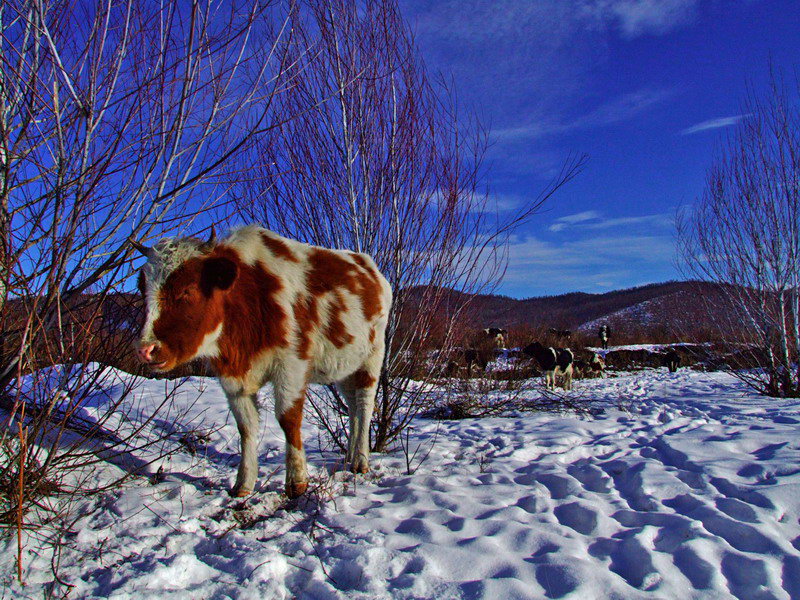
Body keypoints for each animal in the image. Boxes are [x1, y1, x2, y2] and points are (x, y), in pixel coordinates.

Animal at [134, 225, 394, 496]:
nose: (146, 349)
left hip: (372, 357)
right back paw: (349, 458)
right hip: (344, 368)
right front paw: (243, 484)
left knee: (364, 405)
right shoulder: (231, 378)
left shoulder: (292, 365)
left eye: (187, 290)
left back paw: (361, 461)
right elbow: (246, 426)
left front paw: (297, 481)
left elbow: (288, 419)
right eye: (143, 290)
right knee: (353, 407)